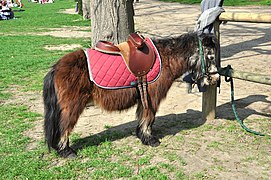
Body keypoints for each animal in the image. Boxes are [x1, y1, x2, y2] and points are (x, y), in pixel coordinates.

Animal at [43, 32, 221, 158]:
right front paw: (150, 139)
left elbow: (143, 117)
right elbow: (149, 118)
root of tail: (56, 68)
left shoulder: (144, 98)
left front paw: (142, 136)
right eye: (211, 56)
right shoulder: (152, 98)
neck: (166, 58)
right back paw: (66, 151)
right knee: (64, 126)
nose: (216, 78)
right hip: (72, 106)